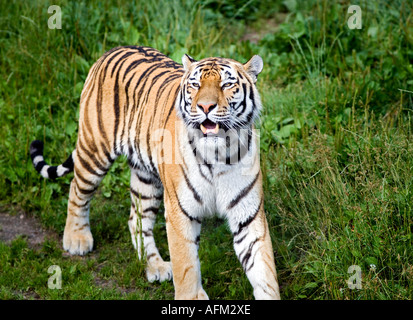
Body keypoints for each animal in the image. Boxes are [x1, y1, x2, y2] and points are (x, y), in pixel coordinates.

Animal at [29, 45, 280, 300]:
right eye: (195, 85)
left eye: (227, 84)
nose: (205, 107)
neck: (220, 152)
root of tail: (113, 49)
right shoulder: (180, 211)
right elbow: (186, 265)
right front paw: (191, 296)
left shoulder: (248, 214)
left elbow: (264, 270)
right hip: (95, 150)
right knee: (77, 189)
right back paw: (77, 239)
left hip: (145, 178)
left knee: (136, 219)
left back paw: (155, 266)